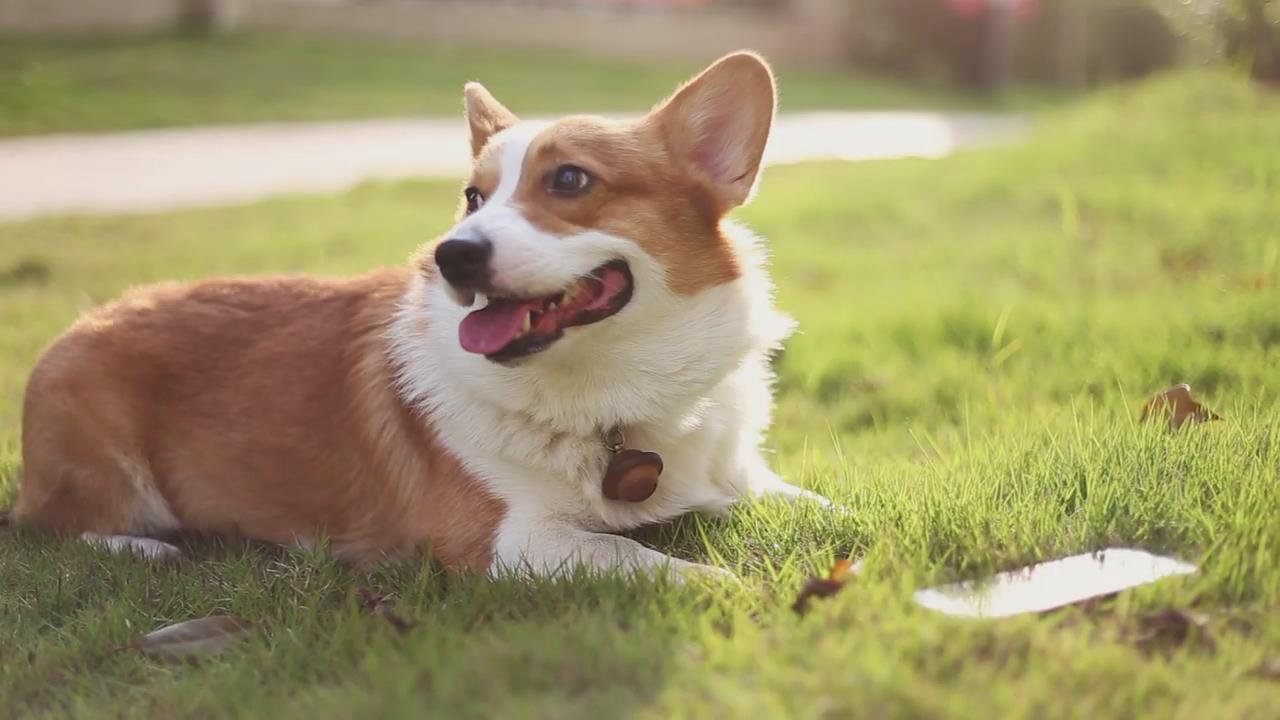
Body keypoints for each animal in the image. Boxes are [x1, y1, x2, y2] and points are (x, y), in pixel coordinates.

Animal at [15, 50, 824, 576]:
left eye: (570, 180)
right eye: (472, 197)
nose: (451, 255)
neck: (619, 400)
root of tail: (84, 320)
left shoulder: (744, 480)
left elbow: (817, 505)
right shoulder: (513, 541)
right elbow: (657, 560)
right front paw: (750, 596)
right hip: (98, 461)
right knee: (55, 526)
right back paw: (142, 546)